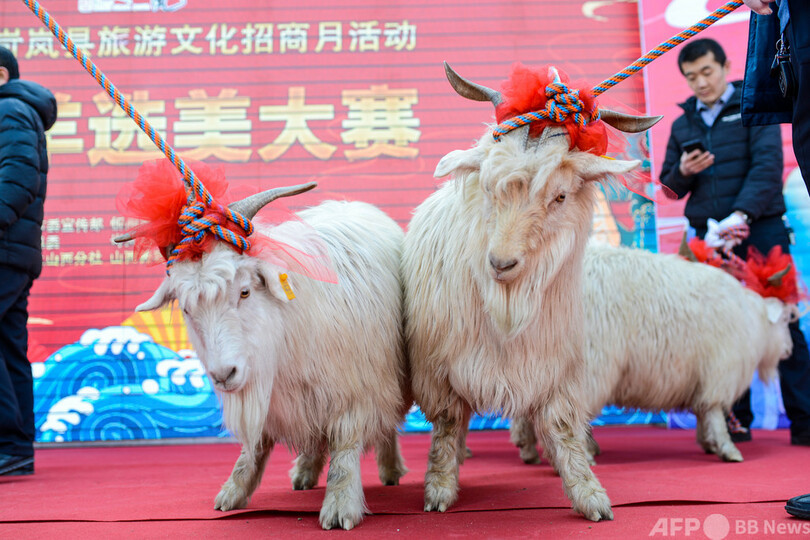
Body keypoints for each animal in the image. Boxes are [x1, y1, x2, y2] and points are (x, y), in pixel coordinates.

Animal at [137, 193, 410, 528]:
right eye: (187, 309)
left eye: (244, 292)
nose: (224, 374)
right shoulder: (275, 399)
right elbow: (253, 450)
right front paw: (234, 491)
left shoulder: (355, 390)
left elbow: (344, 450)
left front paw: (340, 506)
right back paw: (305, 471)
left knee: (385, 427)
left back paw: (390, 469)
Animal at [400, 64, 660, 524]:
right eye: (488, 187)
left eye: (560, 195)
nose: (501, 263)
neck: (507, 305)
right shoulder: (439, 367)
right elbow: (448, 423)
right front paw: (439, 490)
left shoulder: (555, 363)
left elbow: (561, 426)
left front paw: (589, 494)